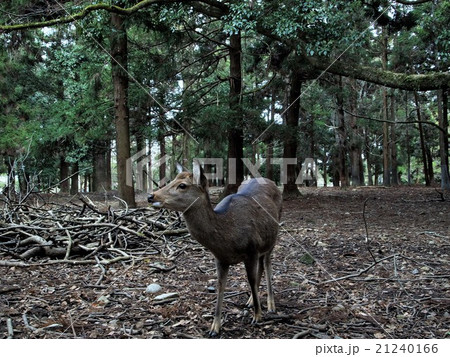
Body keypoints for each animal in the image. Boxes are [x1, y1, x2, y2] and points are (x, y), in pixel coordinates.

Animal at [148, 163, 282, 336]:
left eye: (182, 185)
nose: (151, 196)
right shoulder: (220, 258)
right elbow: (220, 286)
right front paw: (214, 327)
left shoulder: (251, 249)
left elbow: (251, 280)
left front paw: (257, 316)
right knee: (262, 265)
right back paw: (251, 301)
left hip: (273, 236)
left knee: (267, 264)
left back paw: (271, 305)